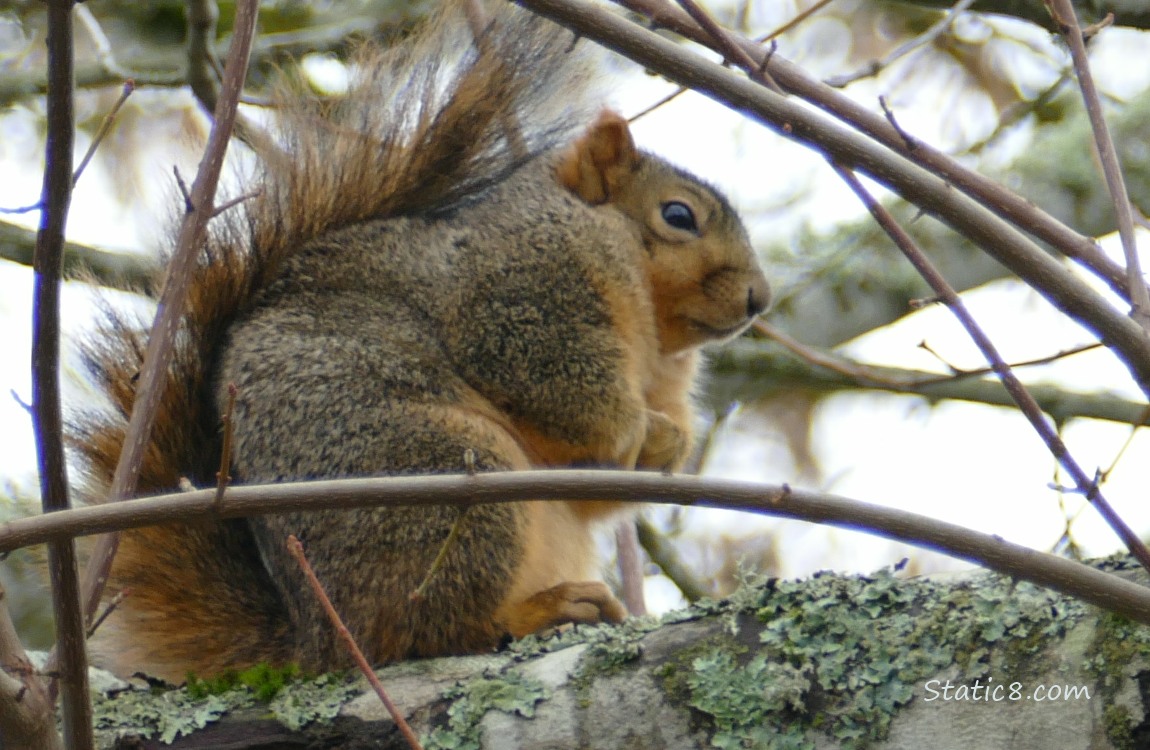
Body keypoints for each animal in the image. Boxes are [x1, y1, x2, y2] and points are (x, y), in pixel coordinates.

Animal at [74, 1, 772, 680]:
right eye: (678, 216)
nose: (758, 299)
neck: (655, 343)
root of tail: (319, 639)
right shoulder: (520, 296)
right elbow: (558, 387)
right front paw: (637, 429)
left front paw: (670, 441)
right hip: (443, 480)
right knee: (429, 630)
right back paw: (539, 612)